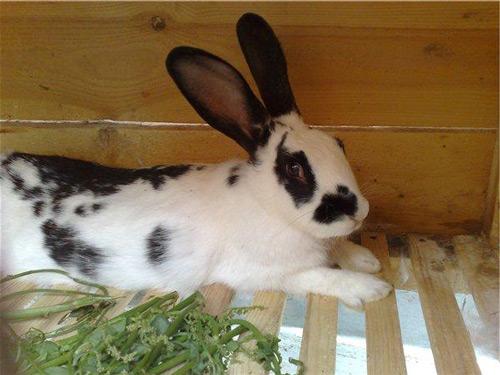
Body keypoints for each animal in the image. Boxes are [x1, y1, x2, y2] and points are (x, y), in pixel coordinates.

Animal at [0, 13, 390, 310]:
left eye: (339, 143)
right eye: (294, 168)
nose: (358, 211)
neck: (269, 207)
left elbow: (339, 246)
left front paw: (367, 260)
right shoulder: (269, 272)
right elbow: (321, 275)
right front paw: (373, 287)